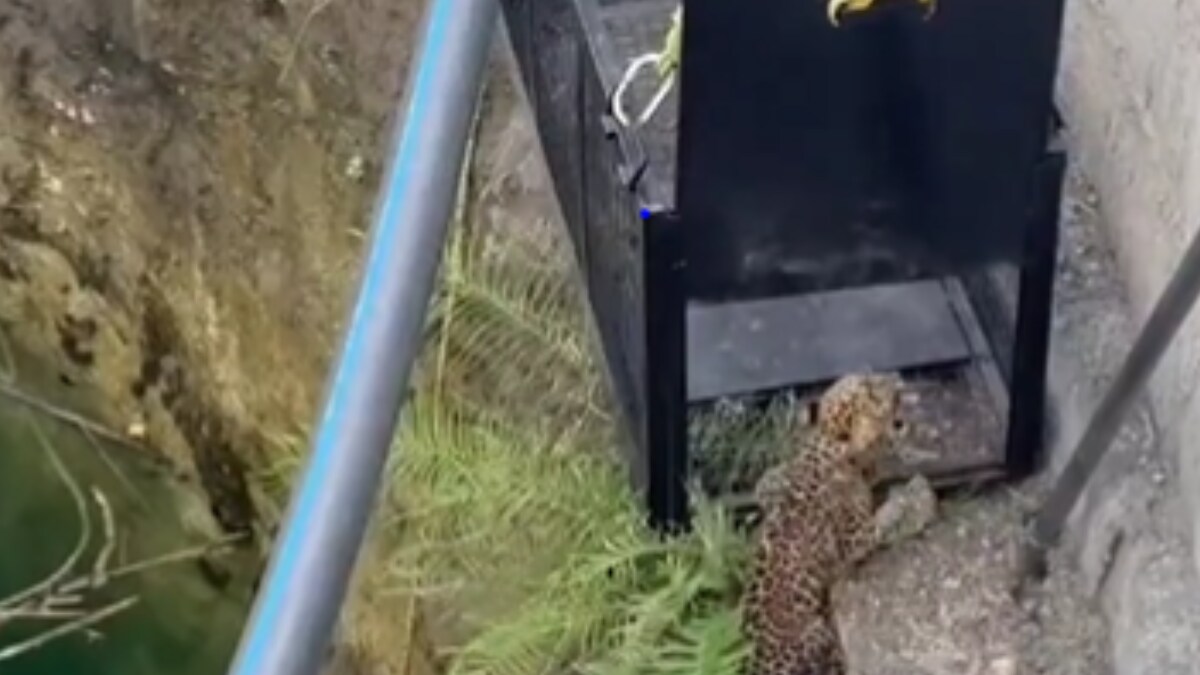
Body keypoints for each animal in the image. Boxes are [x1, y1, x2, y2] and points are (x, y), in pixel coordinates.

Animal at [742, 372, 938, 675]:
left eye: (869, 379)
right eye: (870, 392)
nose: (897, 382)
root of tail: (757, 667)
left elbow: (767, 482)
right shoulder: (852, 538)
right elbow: (885, 519)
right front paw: (915, 495)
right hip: (814, 631)